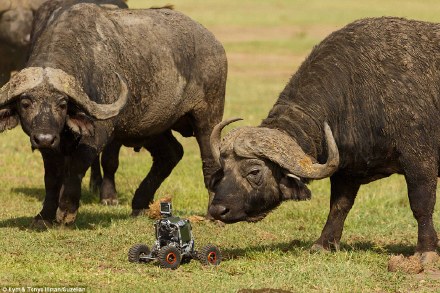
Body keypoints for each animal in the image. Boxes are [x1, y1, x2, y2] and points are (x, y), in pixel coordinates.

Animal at [0, 2, 227, 226]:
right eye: (25, 103)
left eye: (62, 104)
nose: (44, 138)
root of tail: (214, 44)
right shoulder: (50, 145)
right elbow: (52, 177)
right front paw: (44, 215)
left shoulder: (99, 133)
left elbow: (76, 166)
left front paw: (66, 212)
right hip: (150, 126)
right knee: (170, 154)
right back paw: (139, 204)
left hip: (208, 117)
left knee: (210, 162)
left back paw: (213, 216)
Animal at [209, 17, 440, 264]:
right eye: (223, 170)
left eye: (254, 171)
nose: (217, 210)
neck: (359, 92)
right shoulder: (346, 170)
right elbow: (339, 206)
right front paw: (323, 244)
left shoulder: (420, 162)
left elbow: (421, 205)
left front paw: (426, 250)